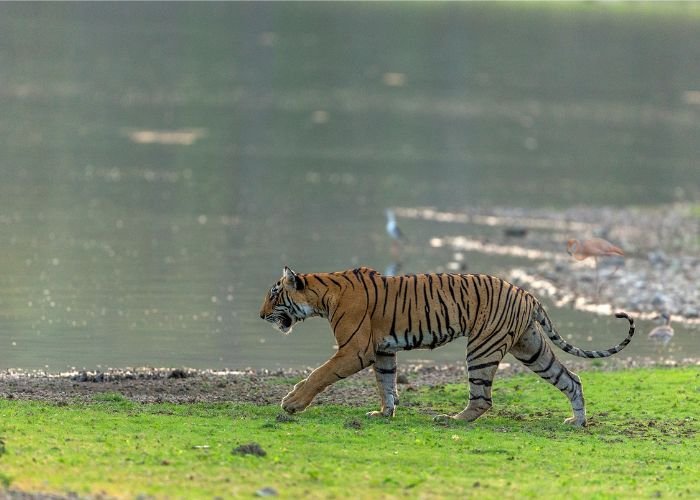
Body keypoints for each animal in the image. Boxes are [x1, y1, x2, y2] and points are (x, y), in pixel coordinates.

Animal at [259, 266, 635, 426]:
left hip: (482, 348)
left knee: (482, 398)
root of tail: (527, 293)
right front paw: (385, 413)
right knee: (571, 379)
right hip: (531, 348)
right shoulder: (382, 350)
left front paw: (291, 404)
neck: (322, 296)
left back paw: (452, 419)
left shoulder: (355, 350)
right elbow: (386, 383)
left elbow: (319, 375)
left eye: (274, 295)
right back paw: (577, 422)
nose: (261, 315)